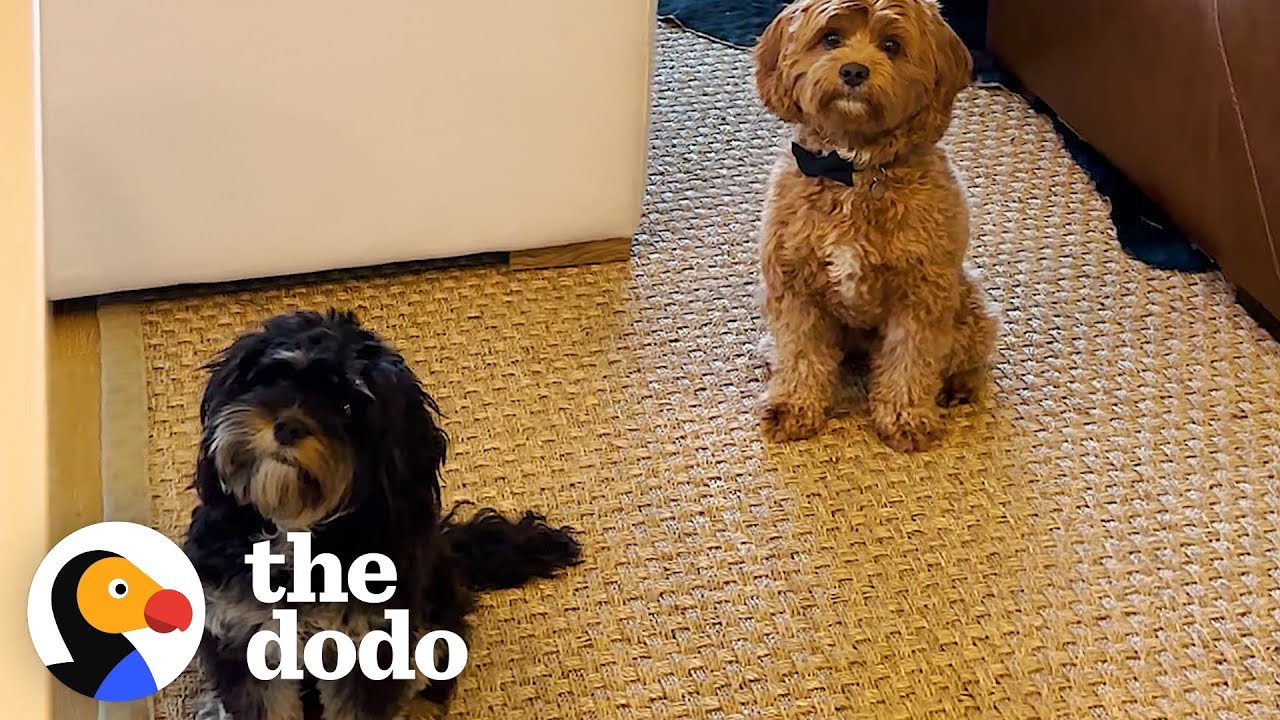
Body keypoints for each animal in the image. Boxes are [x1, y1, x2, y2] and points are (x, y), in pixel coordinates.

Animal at [184, 308, 581, 717]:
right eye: (277, 376)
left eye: (347, 407)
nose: (289, 427)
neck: (297, 531)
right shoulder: (244, 635)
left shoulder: (369, 647)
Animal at [747, 0, 998, 448]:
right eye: (831, 38)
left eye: (892, 45)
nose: (852, 71)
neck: (852, 170)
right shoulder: (793, 286)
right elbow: (800, 353)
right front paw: (793, 407)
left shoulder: (921, 293)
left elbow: (911, 359)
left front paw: (905, 418)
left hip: (968, 303)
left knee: (967, 355)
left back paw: (961, 386)